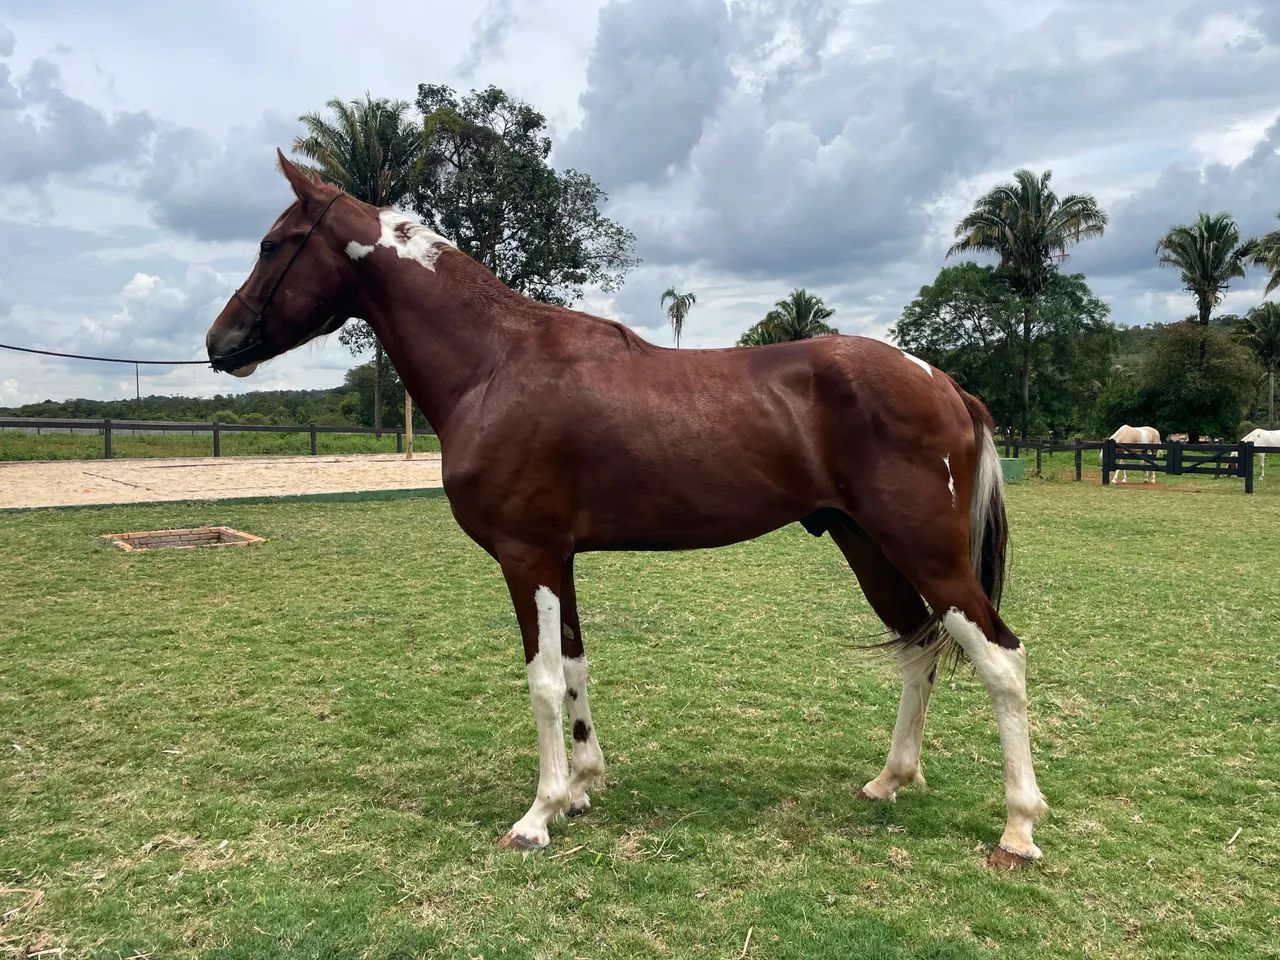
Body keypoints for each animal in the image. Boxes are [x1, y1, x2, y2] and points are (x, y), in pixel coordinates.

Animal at [203, 154, 1047, 870]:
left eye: (274, 245)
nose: (219, 341)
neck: (496, 364)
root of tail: (945, 384)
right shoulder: (560, 558)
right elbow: (575, 666)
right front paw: (580, 788)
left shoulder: (528, 554)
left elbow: (543, 680)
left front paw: (536, 816)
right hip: (868, 546)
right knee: (918, 648)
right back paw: (890, 780)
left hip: (923, 551)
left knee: (1001, 658)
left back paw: (1018, 829)